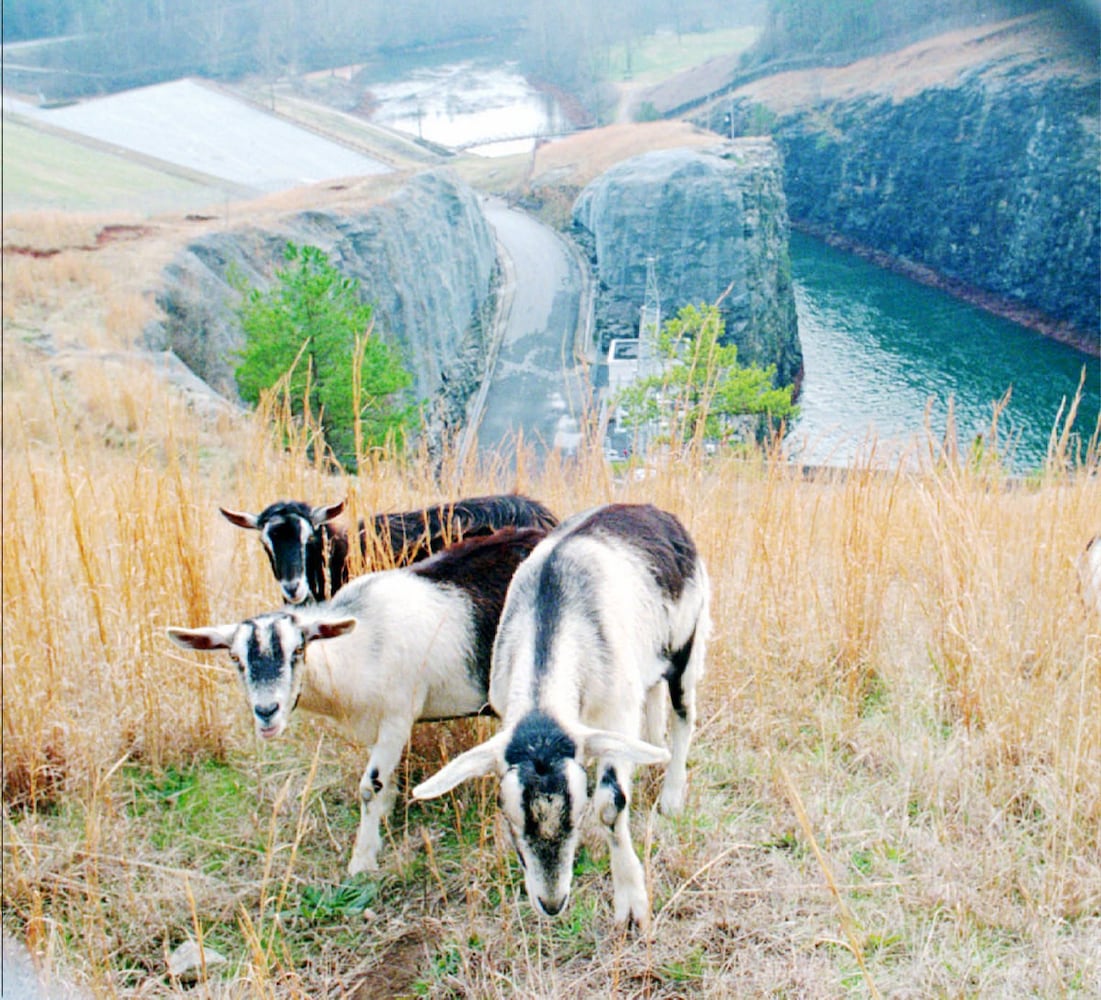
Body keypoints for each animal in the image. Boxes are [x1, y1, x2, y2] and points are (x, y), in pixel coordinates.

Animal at [166, 524, 546, 876]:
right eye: (235, 658)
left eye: (298, 650)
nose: (266, 712)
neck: (358, 646)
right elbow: (385, 784)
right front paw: (382, 825)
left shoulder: (398, 716)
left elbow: (369, 786)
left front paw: (362, 859)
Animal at [409, 504, 709, 933]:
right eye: (508, 814)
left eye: (576, 815)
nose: (552, 903)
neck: (550, 616)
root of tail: (654, 512)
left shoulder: (615, 715)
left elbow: (611, 803)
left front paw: (632, 905)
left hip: (688, 638)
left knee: (684, 713)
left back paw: (671, 795)